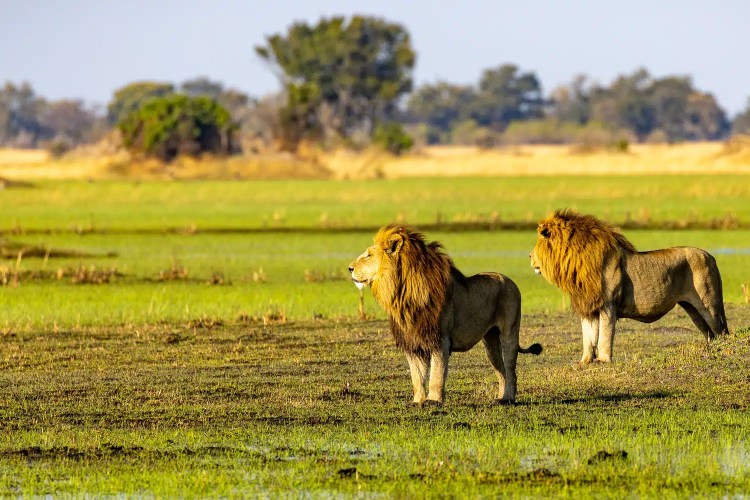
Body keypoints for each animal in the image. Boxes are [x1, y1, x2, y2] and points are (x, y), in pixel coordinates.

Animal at [349, 223, 542, 405]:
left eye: (368, 255)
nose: (349, 268)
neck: (402, 293)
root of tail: (511, 281)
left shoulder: (440, 339)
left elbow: (436, 373)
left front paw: (433, 400)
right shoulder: (413, 343)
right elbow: (417, 377)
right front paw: (417, 401)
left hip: (509, 333)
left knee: (510, 369)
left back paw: (509, 398)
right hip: (490, 342)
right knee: (500, 370)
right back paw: (501, 398)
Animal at [530, 209, 729, 364]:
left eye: (538, 243)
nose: (529, 256)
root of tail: (711, 256)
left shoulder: (608, 305)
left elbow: (604, 336)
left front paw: (603, 360)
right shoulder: (587, 307)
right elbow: (588, 337)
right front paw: (584, 362)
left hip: (708, 304)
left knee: (720, 331)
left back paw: (723, 351)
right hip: (691, 308)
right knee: (709, 333)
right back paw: (710, 351)